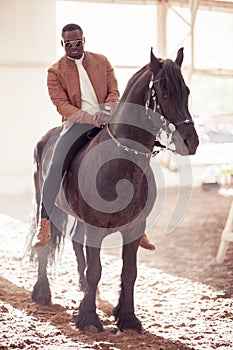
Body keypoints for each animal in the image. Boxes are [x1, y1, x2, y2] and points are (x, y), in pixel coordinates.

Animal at [27, 47, 198, 332]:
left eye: (186, 91)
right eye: (163, 93)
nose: (191, 142)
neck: (120, 164)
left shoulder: (133, 229)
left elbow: (129, 272)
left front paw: (126, 316)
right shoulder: (95, 230)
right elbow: (95, 270)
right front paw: (88, 319)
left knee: (77, 245)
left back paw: (86, 291)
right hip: (47, 204)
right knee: (45, 244)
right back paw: (42, 293)